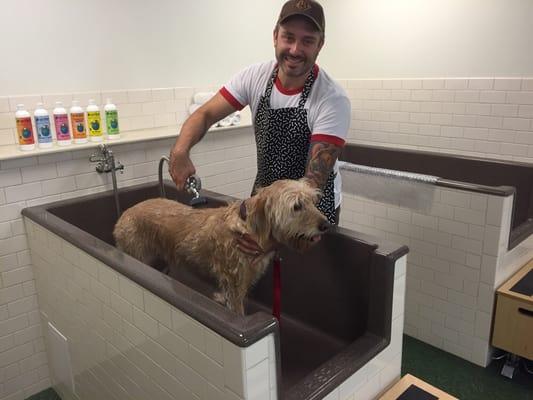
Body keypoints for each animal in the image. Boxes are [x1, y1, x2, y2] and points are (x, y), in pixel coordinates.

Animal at [112, 179, 328, 316]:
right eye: (297, 206)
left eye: (312, 201)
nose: (326, 225)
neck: (249, 230)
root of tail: (123, 215)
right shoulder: (234, 284)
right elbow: (237, 311)